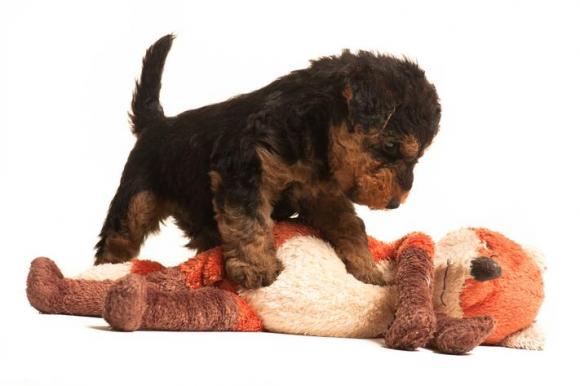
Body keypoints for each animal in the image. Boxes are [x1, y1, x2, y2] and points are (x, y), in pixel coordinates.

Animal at [95, 35, 440, 290]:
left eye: (419, 156)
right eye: (391, 146)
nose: (395, 203)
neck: (313, 131)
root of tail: (157, 124)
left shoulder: (320, 192)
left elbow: (350, 224)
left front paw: (367, 269)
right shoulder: (243, 172)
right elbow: (249, 222)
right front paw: (257, 267)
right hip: (137, 198)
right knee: (117, 237)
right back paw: (104, 274)